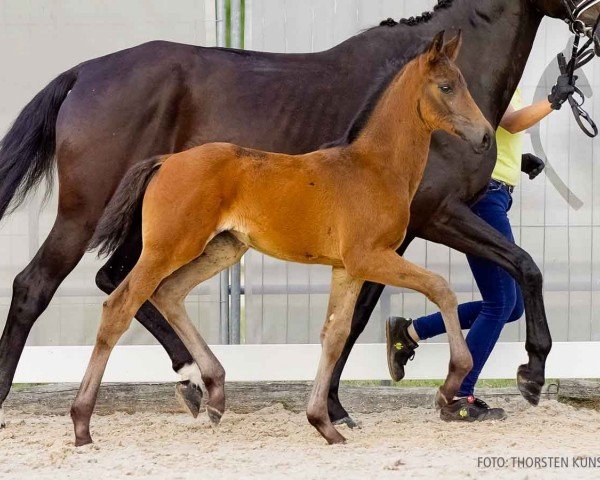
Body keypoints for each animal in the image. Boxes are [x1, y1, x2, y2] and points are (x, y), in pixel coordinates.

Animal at [76, 32, 492, 446]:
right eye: (446, 86)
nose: (486, 135)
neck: (375, 167)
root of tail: (166, 161)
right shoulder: (370, 257)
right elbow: (442, 289)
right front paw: (449, 386)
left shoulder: (347, 268)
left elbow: (334, 334)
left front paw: (323, 423)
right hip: (167, 249)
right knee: (119, 307)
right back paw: (82, 423)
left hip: (223, 249)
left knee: (170, 293)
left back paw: (215, 394)